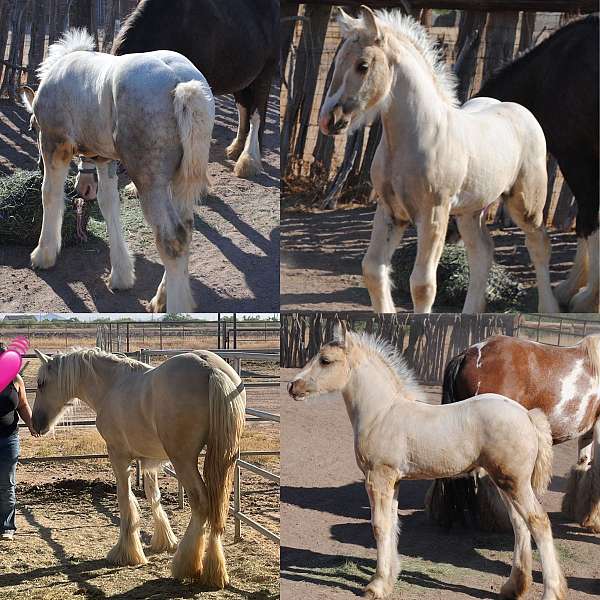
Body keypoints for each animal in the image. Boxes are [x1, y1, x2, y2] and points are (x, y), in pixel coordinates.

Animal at [22, 31, 216, 314]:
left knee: (172, 238)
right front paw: (122, 275)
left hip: (150, 181)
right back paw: (162, 297)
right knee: (187, 228)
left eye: (33, 126)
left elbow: (50, 194)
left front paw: (43, 254)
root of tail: (183, 84)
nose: (83, 188)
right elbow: (108, 203)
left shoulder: (54, 145)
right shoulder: (106, 159)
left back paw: (175, 310)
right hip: (181, 179)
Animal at [29, 346, 246, 584]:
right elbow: (153, 496)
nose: (36, 424)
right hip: (225, 458)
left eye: (41, 383)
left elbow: (125, 500)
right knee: (218, 508)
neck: (111, 385)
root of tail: (210, 369)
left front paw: (126, 553)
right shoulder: (149, 461)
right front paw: (164, 541)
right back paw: (214, 571)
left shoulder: (118, 455)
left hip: (183, 460)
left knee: (202, 503)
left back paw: (185, 565)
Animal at [290, 326, 568, 600]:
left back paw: (551, 592)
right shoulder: (394, 481)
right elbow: (393, 524)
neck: (382, 413)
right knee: (520, 524)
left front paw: (376, 586)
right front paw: (390, 579)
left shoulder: (377, 477)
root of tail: (527, 415)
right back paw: (513, 588)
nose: (293, 386)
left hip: (514, 482)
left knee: (538, 522)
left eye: (325, 360)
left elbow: (379, 526)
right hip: (505, 481)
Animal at [322, 8, 560, 314]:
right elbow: (373, 271)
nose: (329, 119)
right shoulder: (390, 210)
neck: (413, 138)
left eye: (362, 65)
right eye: (338, 60)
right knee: (482, 253)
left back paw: (550, 309)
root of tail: (520, 111)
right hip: (471, 210)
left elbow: (423, 285)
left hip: (525, 201)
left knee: (539, 243)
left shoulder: (434, 213)